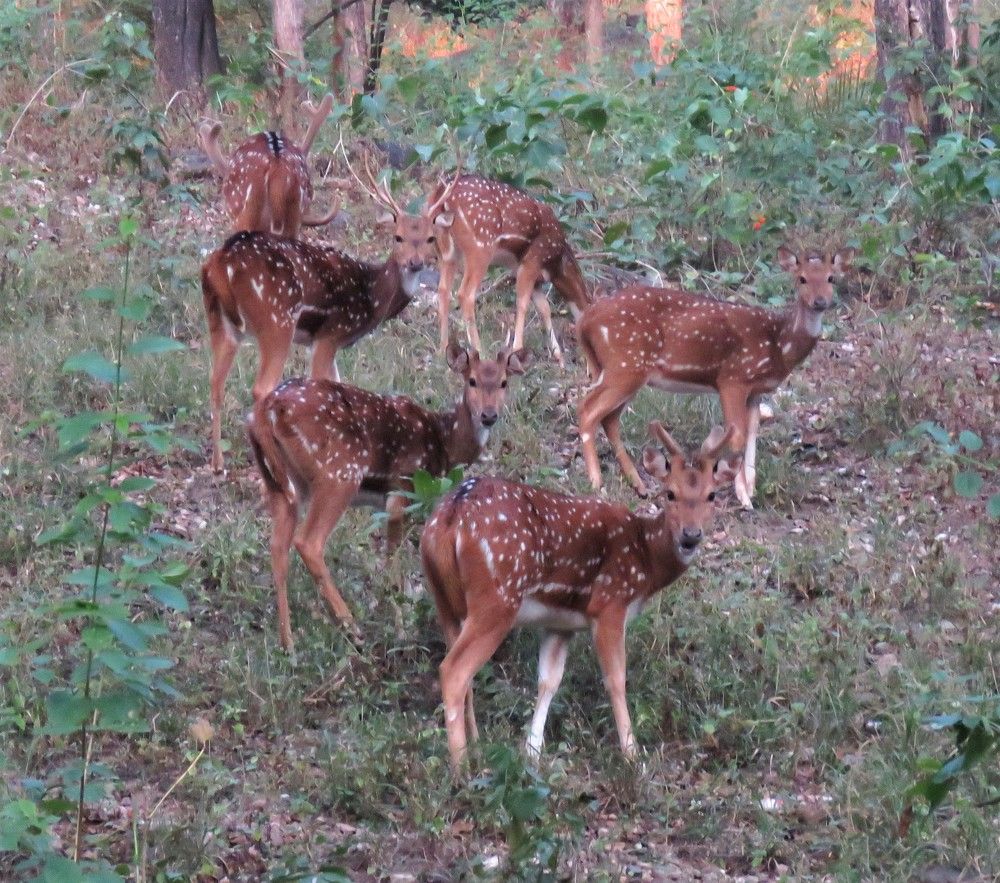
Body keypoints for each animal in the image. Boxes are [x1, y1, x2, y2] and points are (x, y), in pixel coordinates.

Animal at [202, 226, 435, 473]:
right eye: (398, 237)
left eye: (431, 238)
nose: (415, 263)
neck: (372, 297)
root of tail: (222, 262)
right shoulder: (330, 335)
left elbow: (338, 385)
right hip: (277, 319)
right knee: (262, 387)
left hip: (220, 321)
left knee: (216, 382)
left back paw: (218, 463)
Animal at [247, 344, 530, 653]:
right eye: (472, 380)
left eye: (503, 382)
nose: (488, 415)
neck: (443, 442)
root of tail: (268, 411)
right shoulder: (402, 488)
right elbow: (395, 556)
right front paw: (402, 626)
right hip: (339, 473)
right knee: (308, 542)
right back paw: (352, 627)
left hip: (281, 482)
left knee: (277, 547)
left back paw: (288, 643)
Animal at [420, 422, 739, 768]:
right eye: (670, 493)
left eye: (712, 495)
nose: (691, 536)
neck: (646, 559)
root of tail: (449, 519)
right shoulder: (610, 602)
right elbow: (615, 679)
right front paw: (632, 753)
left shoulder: (561, 623)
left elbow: (548, 680)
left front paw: (532, 751)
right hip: (496, 598)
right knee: (453, 671)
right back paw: (461, 765)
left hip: (445, 600)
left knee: (460, 670)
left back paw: (476, 746)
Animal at [577, 246, 855, 508]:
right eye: (802, 279)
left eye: (831, 278)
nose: (820, 301)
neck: (778, 345)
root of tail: (584, 321)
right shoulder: (733, 378)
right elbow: (738, 435)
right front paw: (743, 497)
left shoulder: (756, 390)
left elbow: (753, 433)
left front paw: (751, 488)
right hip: (625, 365)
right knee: (588, 409)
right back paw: (596, 482)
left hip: (622, 370)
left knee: (609, 418)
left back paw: (639, 485)